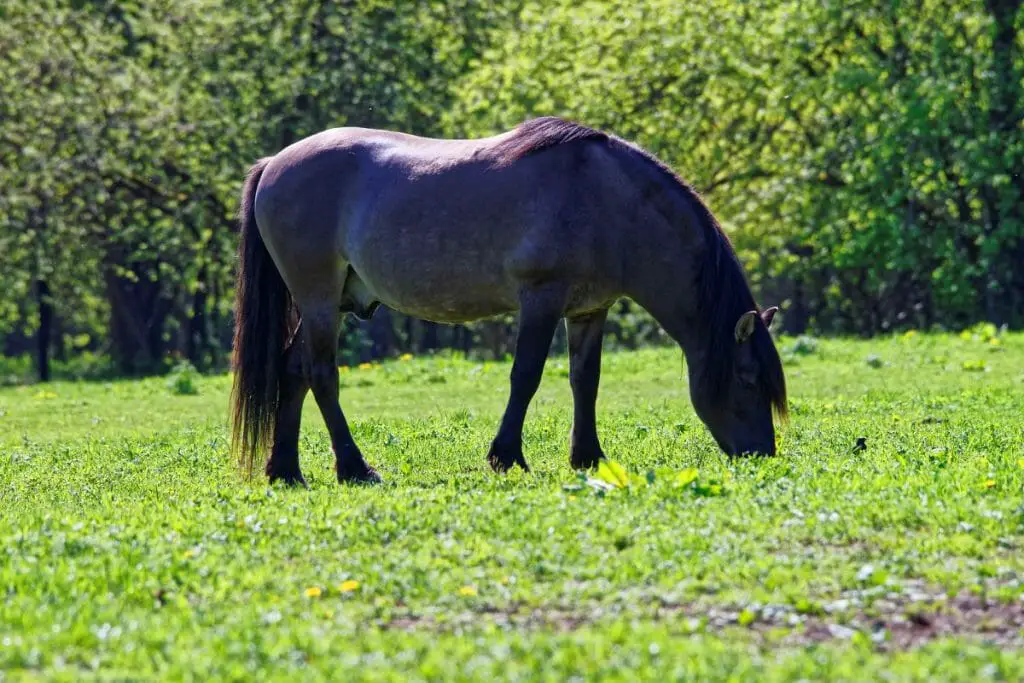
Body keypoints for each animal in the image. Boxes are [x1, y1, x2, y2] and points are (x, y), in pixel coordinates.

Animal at [232, 118, 786, 491]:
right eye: (747, 379)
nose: (761, 454)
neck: (610, 202)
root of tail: (273, 164)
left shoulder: (590, 311)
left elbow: (585, 380)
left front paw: (588, 458)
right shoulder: (541, 299)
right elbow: (527, 376)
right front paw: (507, 457)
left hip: (330, 302)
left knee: (293, 371)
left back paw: (286, 471)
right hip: (320, 299)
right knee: (322, 374)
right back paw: (355, 468)